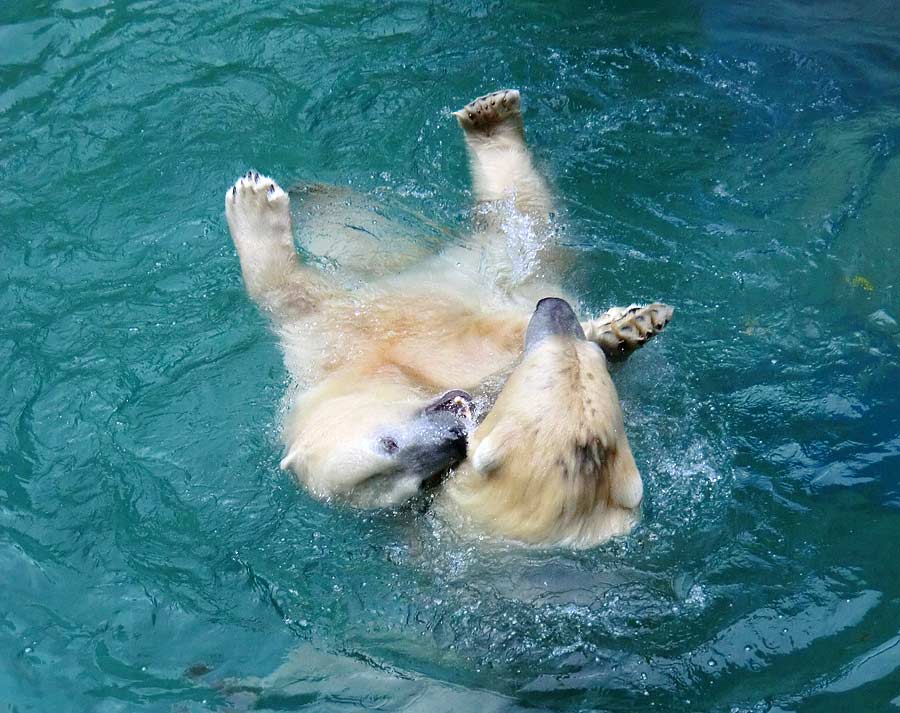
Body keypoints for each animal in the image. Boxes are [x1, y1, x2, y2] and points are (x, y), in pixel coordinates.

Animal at [225, 90, 676, 540]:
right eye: (418, 481)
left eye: (388, 443)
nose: (456, 439)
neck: (379, 368)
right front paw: (616, 334)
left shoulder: (339, 332)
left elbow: (285, 293)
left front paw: (252, 202)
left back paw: (489, 117)